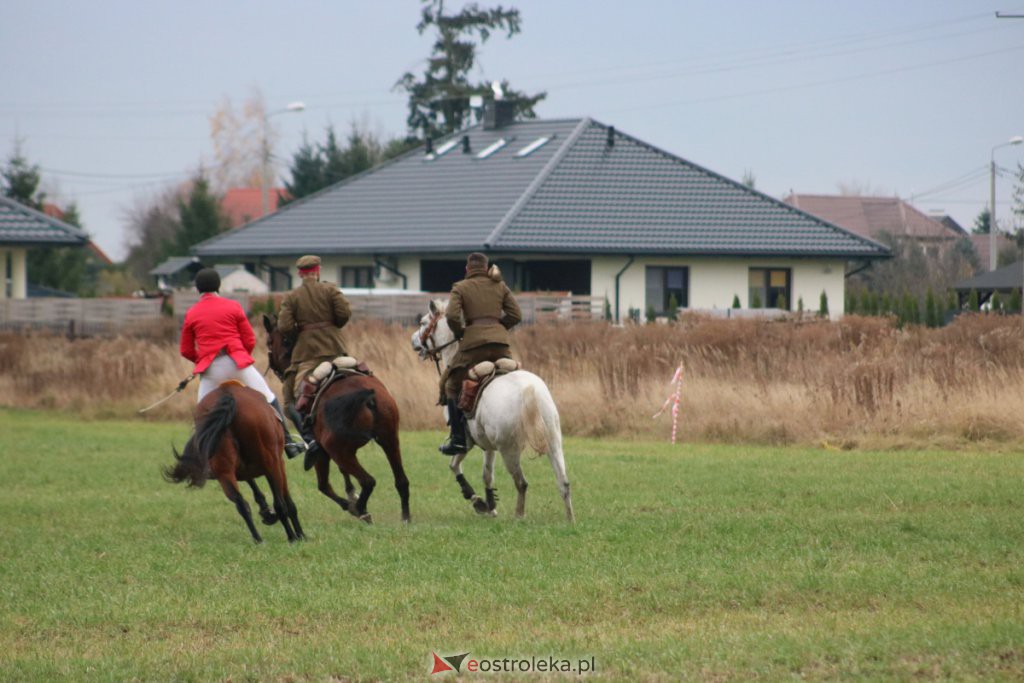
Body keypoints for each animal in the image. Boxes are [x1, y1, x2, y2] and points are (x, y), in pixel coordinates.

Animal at [163, 378, 303, 544]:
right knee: (279, 504)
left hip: (224, 471)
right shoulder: (279, 464)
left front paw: (266, 512)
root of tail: (228, 396)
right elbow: (287, 501)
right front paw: (300, 535)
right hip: (271, 465)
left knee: (241, 504)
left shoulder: (242, 471)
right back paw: (291, 537)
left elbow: (254, 488)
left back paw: (258, 540)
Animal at [262, 313, 409, 528]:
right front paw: (351, 494)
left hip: (340, 450)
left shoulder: (322, 452)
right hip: (389, 440)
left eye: (270, 342)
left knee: (368, 481)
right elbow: (341, 476)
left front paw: (351, 503)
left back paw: (361, 510)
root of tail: (368, 396)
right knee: (401, 481)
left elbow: (323, 486)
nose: (276, 368)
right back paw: (405, 517)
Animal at [413, 301, 577, 524]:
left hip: (510, 451)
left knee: (521, 483)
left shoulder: (466, 442)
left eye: (423, 322)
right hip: (553, 443)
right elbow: (487, 474)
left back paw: (519, 516)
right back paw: (569, 520)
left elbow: (455, 466)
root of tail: (531, 391)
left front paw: (478, 502)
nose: (414, 342)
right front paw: (490, 506)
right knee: (563, 483)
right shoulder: (488, 445)